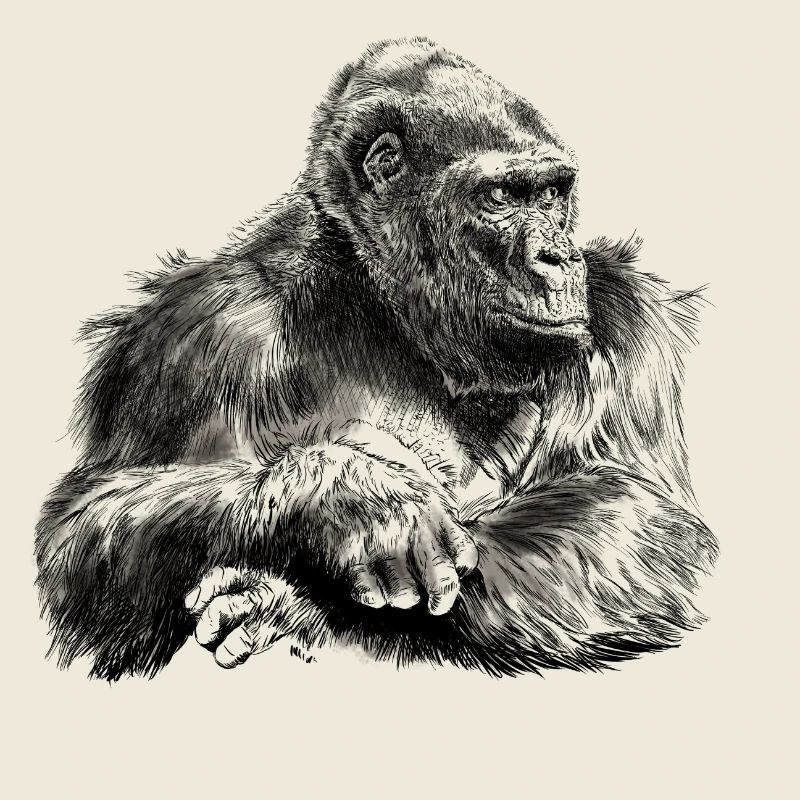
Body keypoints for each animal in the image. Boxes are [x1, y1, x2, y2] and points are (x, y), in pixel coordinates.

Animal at [35, 37, 718, 680]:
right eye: (501, 197)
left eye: (552, 194)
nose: (559, 257)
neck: (380, 301)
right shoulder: (196, 331)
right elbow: (84, 534)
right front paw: (351, 500)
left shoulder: (626, 317)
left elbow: (641, 520)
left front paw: (297, 603)